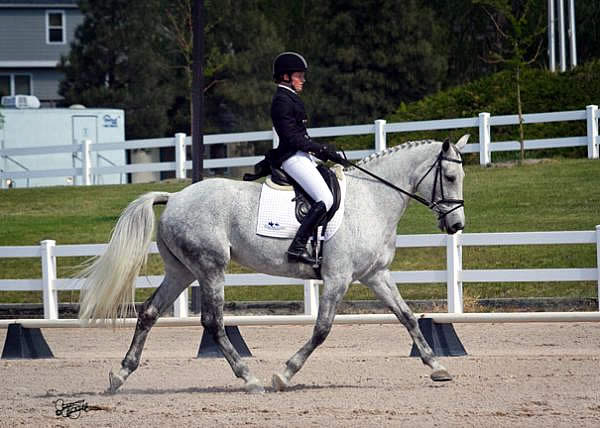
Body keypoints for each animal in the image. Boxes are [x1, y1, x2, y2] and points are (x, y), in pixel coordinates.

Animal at [78, 135, 468, 392]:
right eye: (450, 178)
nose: (456, 226)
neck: (372, 199)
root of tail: (174, 197)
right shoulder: (338, 277)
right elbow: (322, 330)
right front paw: (285, 373)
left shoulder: (375, 275)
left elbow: (407, 317)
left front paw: (437, 366)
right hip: (210, 268)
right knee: (213, 322)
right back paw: (250, 378)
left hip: (181, 271)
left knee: (149, 313)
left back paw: (120, 375)